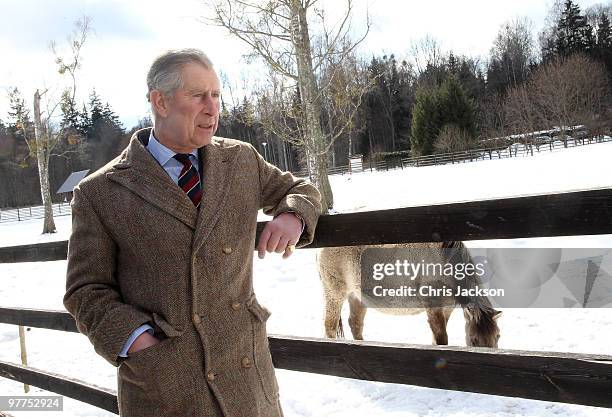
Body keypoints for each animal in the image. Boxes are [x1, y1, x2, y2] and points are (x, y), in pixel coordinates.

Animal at [316, 240, 502, 348]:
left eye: (498, 336)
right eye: (474, 339)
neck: (443, 260)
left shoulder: (447, 308)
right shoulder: (433, 307)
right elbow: (441, 338)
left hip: (357, 297)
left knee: (355, 324)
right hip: (335, 294)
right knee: (330, 326)